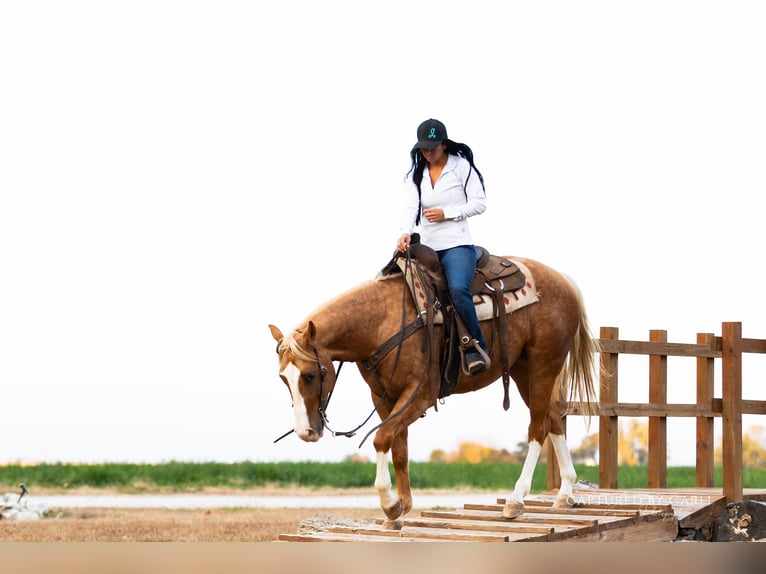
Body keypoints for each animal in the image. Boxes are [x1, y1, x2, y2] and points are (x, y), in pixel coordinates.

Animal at [268, 254, 599, 524]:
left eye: (310, 375)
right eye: (284, 378)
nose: (305, 432)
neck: (382, 322)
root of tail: (563, 281)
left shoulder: (421, 395)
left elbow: (381, 438)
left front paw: (390, 504)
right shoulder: (384, 397)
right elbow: (398, 447)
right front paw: (402, 507)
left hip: (544, 364)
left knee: (538, 428)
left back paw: (516, 501)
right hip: (522, 369)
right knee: (553, 418)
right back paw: (565, 493)